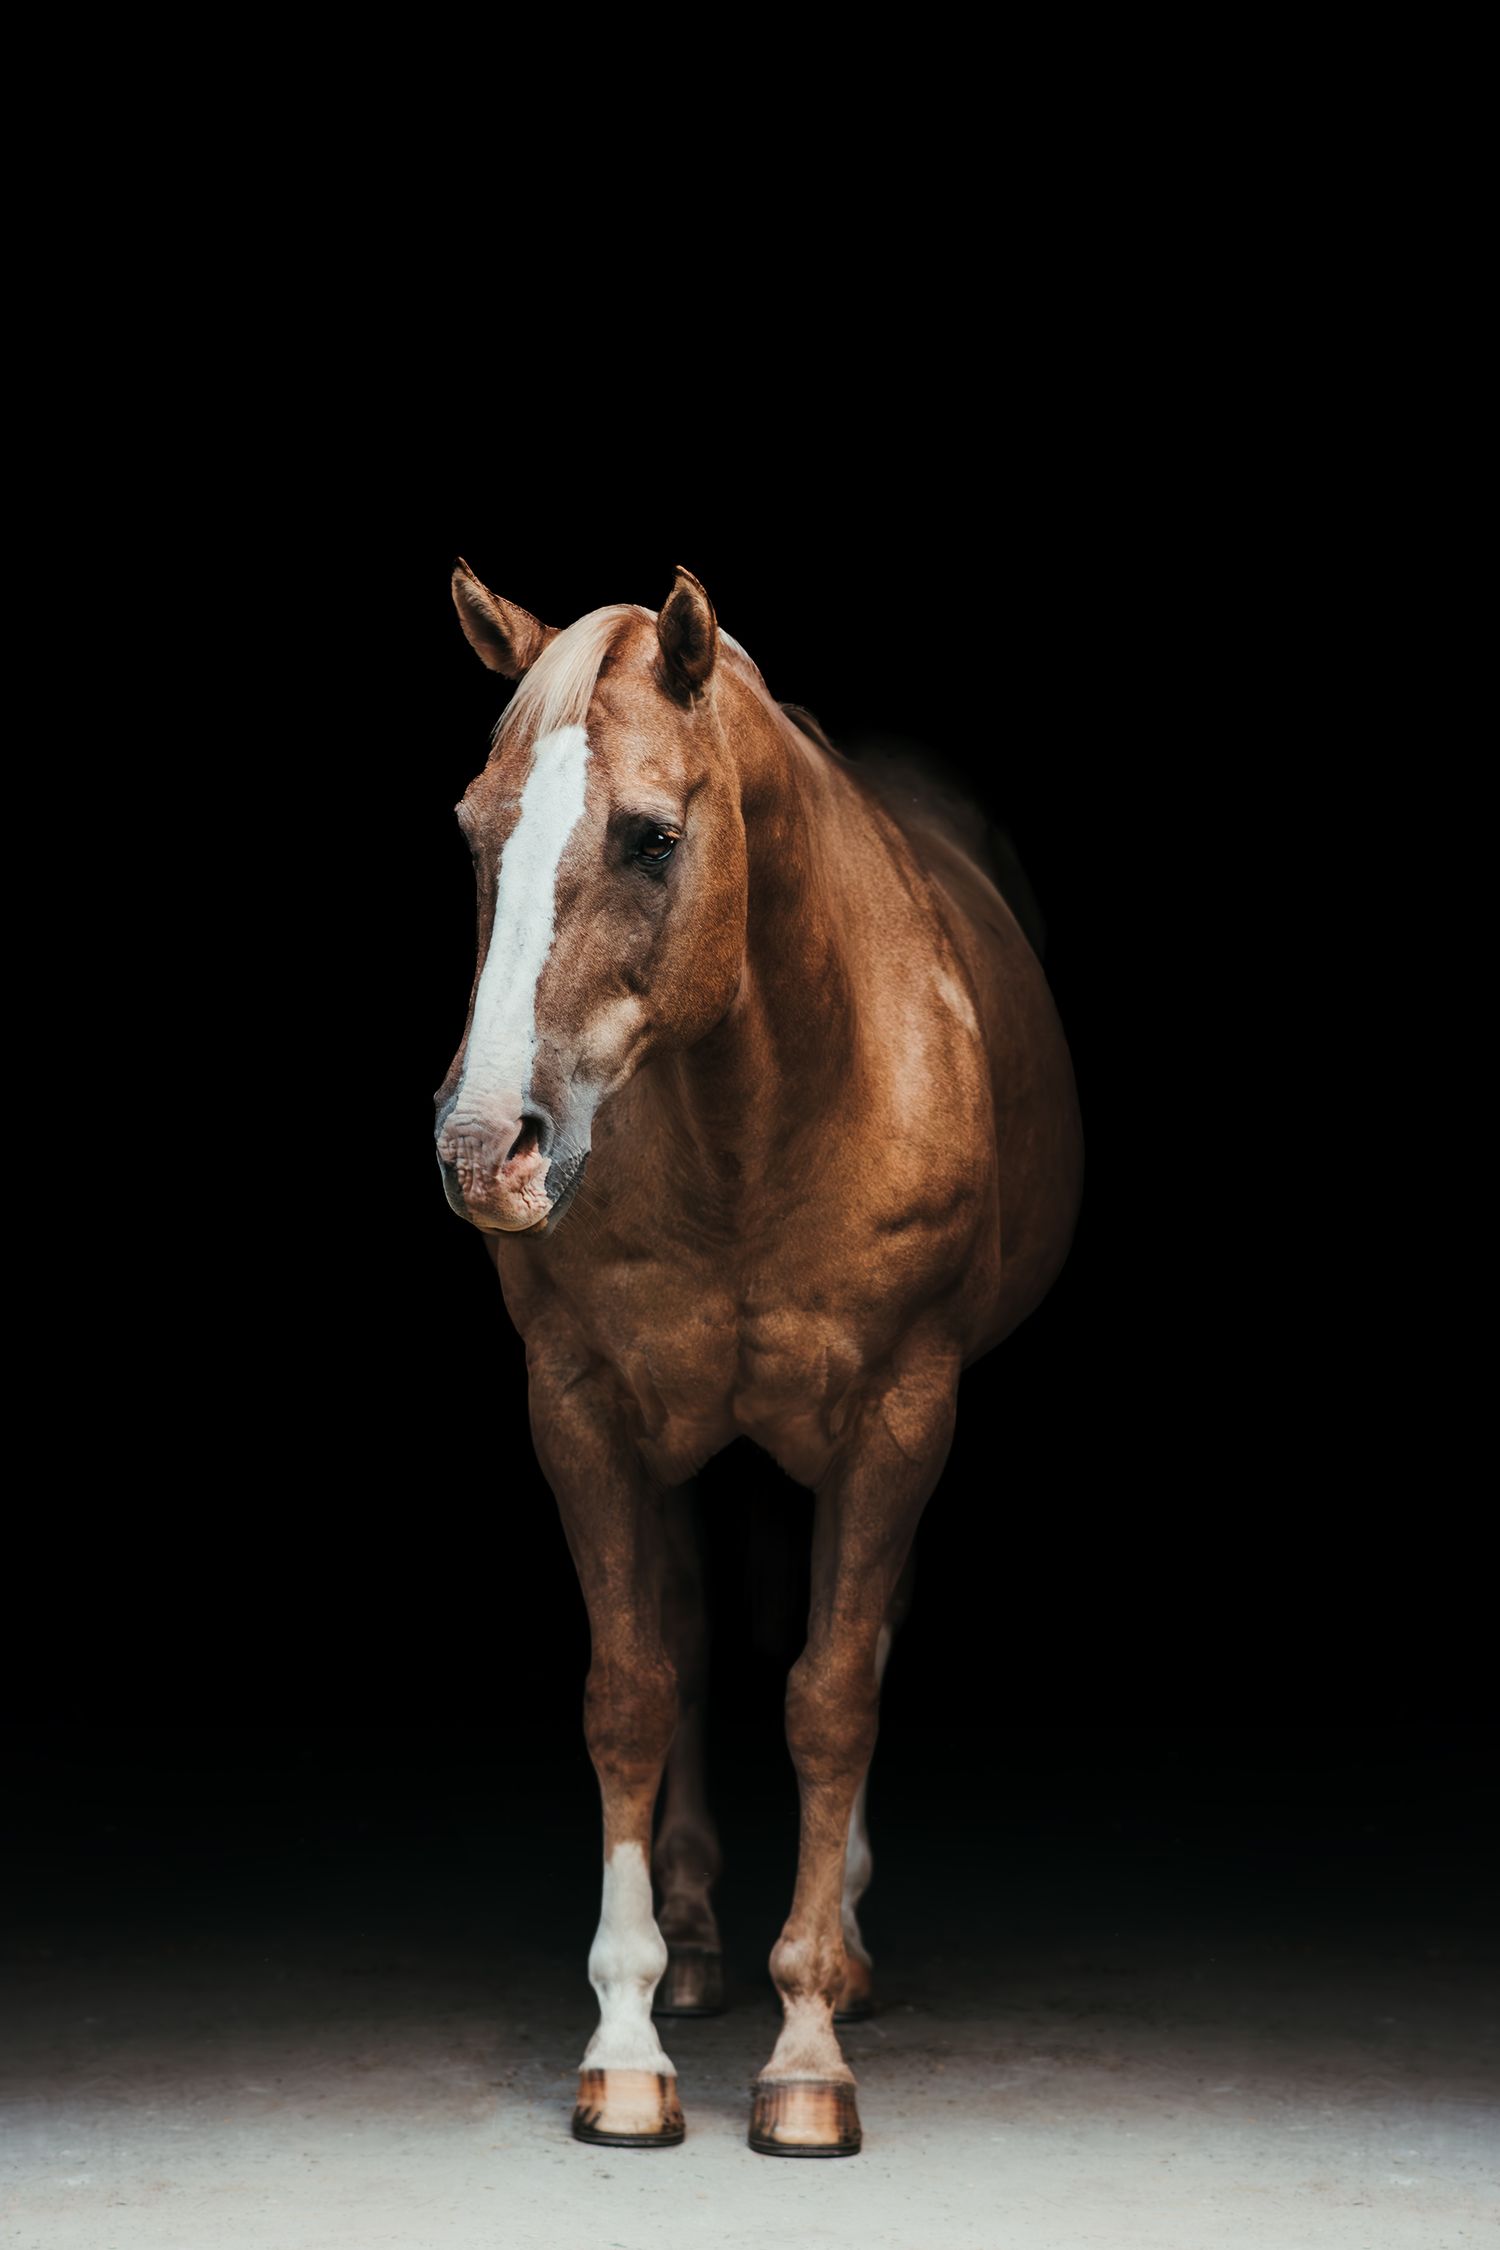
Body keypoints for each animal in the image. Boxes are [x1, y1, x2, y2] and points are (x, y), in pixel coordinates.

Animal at [434, 560, 1084, 2157]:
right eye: (476, 832)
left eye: (653, 838)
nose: (485, 1153)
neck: (761, 1102)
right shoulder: (582, 1404)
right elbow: (632, 1685)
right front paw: (625, 2044)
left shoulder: (903, 1412)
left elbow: (831, 1695)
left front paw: (806, 2051)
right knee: (685, 1627)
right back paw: (692, 1943)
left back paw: (839, 1950)